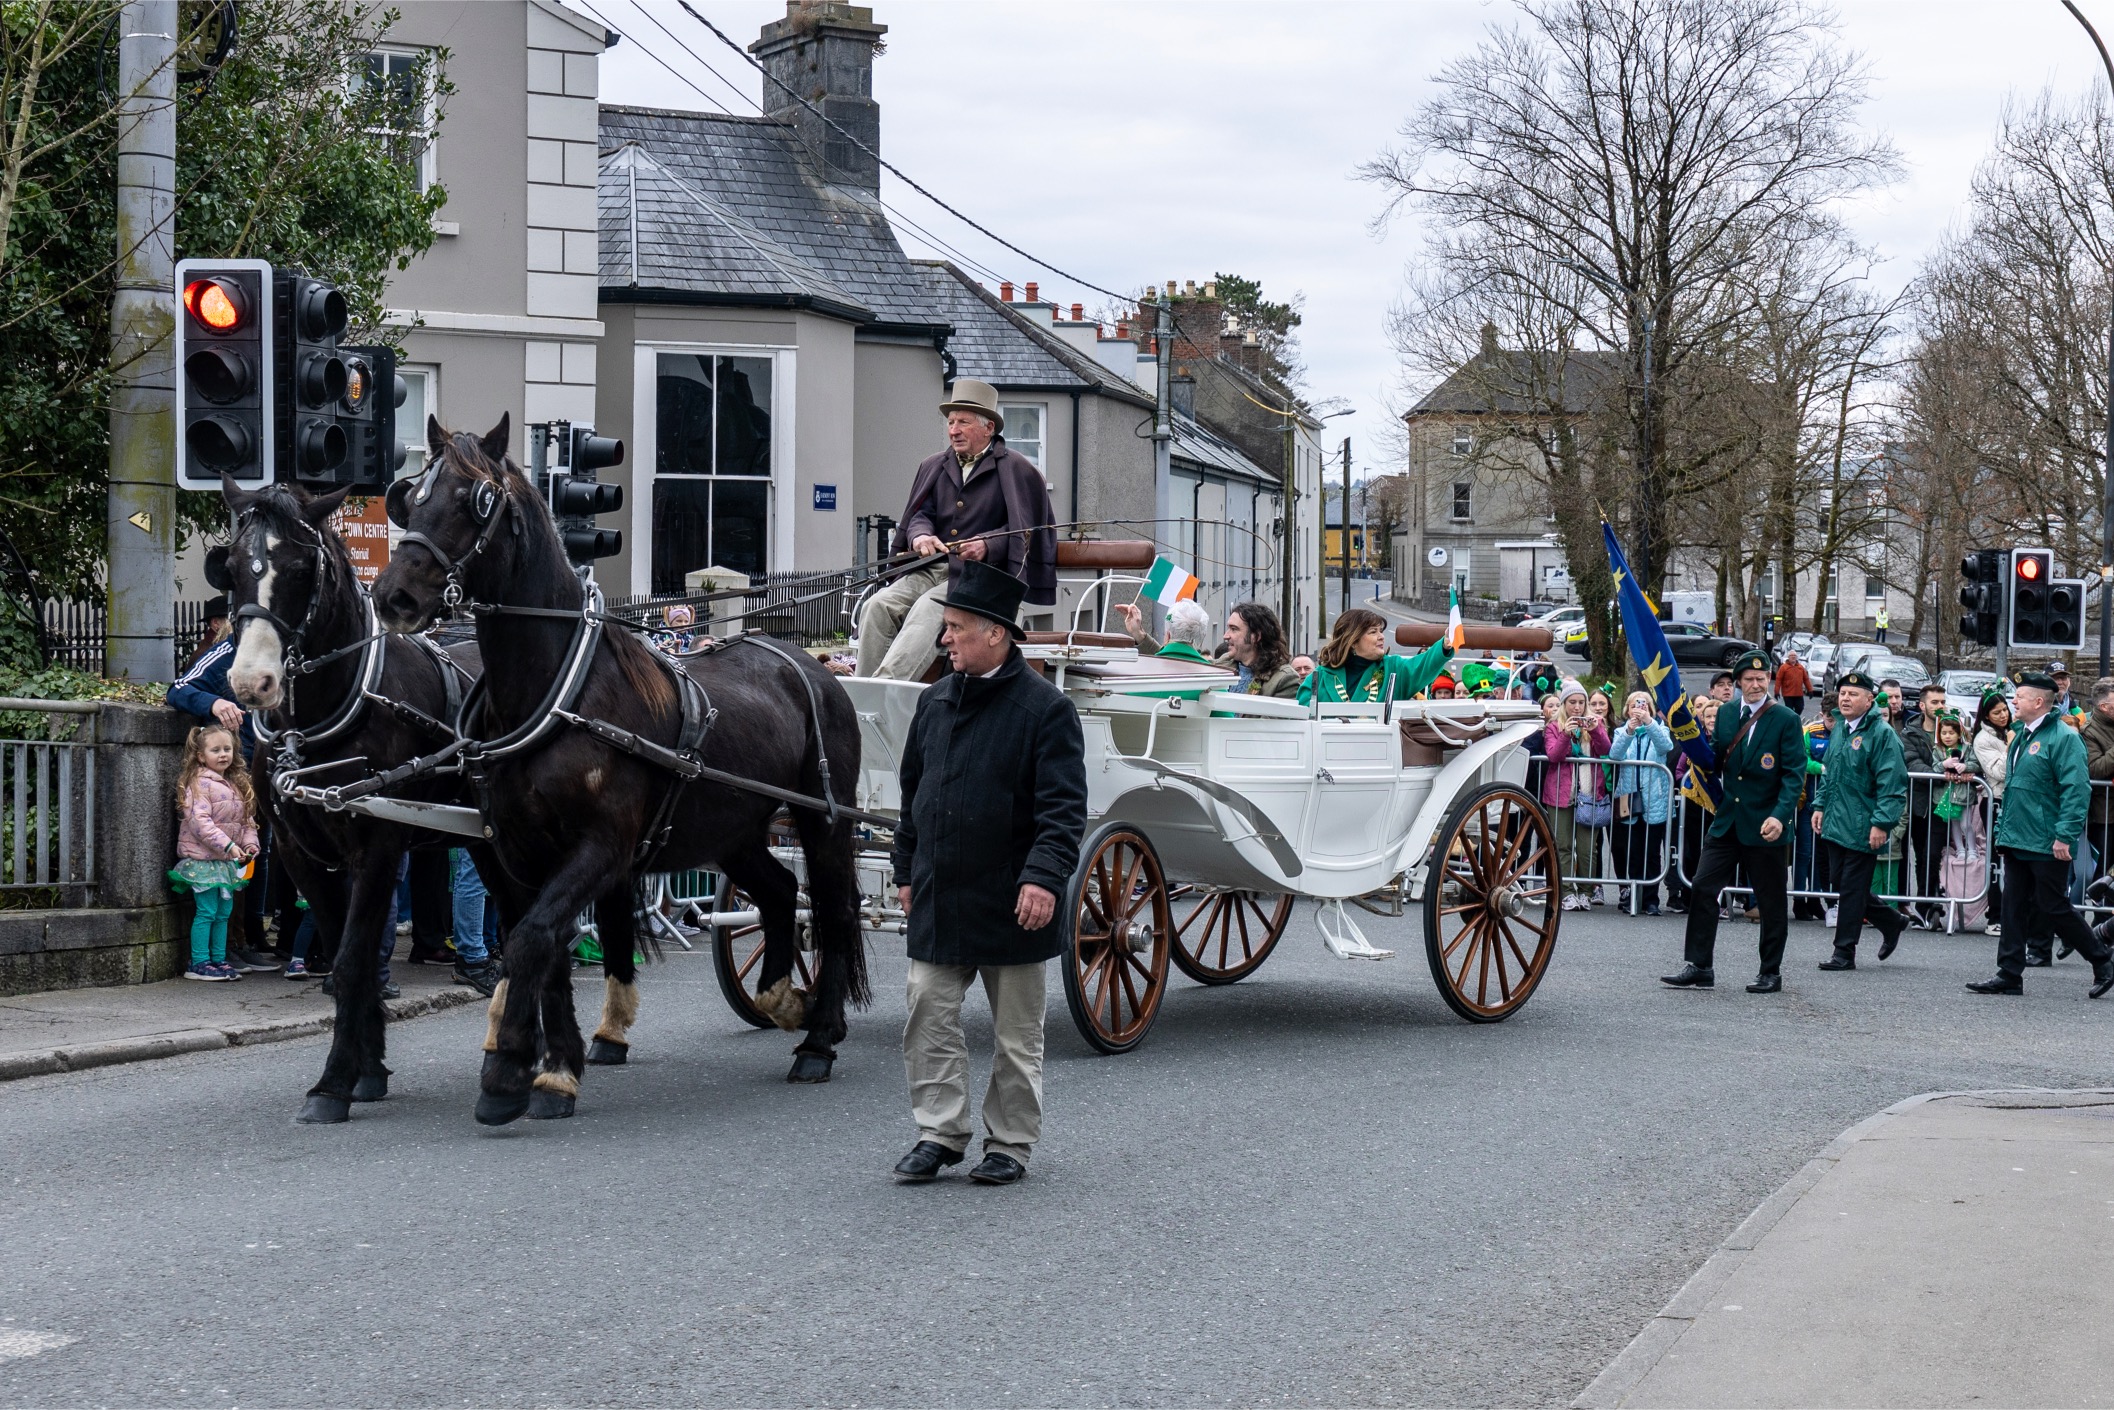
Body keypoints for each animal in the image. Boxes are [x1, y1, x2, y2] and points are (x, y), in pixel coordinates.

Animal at [215, 478, 510, 1124]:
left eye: (300, 567)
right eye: (231, 567)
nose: (251, 683)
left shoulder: (378, 844)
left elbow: (352, 957)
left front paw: (333, 1084)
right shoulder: (300, 852)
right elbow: (345, 950)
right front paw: (367, 1070)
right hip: (486, 842)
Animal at [370, 415, 869, 1126]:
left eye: (476, 501)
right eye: (410, 496)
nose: (394, 596)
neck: (556, 690)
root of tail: (807, 663)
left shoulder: (603, 847)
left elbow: (532, 939)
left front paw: (511, 1072)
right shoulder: (518, 850)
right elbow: (541, 945)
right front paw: (553, 1066)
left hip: (823, 820)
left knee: (832, 909)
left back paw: (818, 1039)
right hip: (732, 829)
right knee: (777, 895)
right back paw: (780, 996)